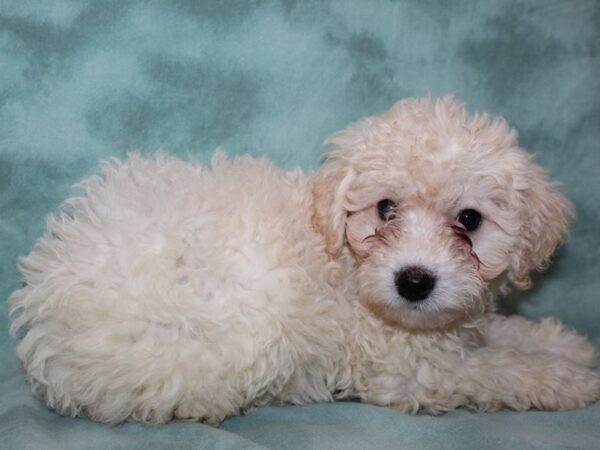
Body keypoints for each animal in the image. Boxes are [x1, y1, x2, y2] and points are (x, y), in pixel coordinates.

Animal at [9, 96, 600, 426]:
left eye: (470, 220)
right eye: (385, 208)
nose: (414, 282)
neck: (344, 262)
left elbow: (503, 334)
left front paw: (565, 345)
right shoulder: (413, 373)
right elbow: (501, 370)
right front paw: (570, 381)